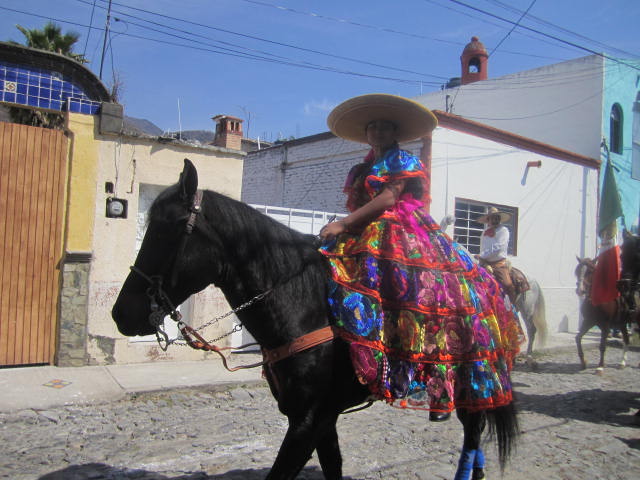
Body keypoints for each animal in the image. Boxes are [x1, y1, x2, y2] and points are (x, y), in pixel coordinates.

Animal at [111, 160, 520, 480]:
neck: (303, 303)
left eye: (166, 230)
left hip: (476, 377)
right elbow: (332, 467)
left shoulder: (307, 422)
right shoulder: (320, 420)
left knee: (473, 431)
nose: (121, 314)